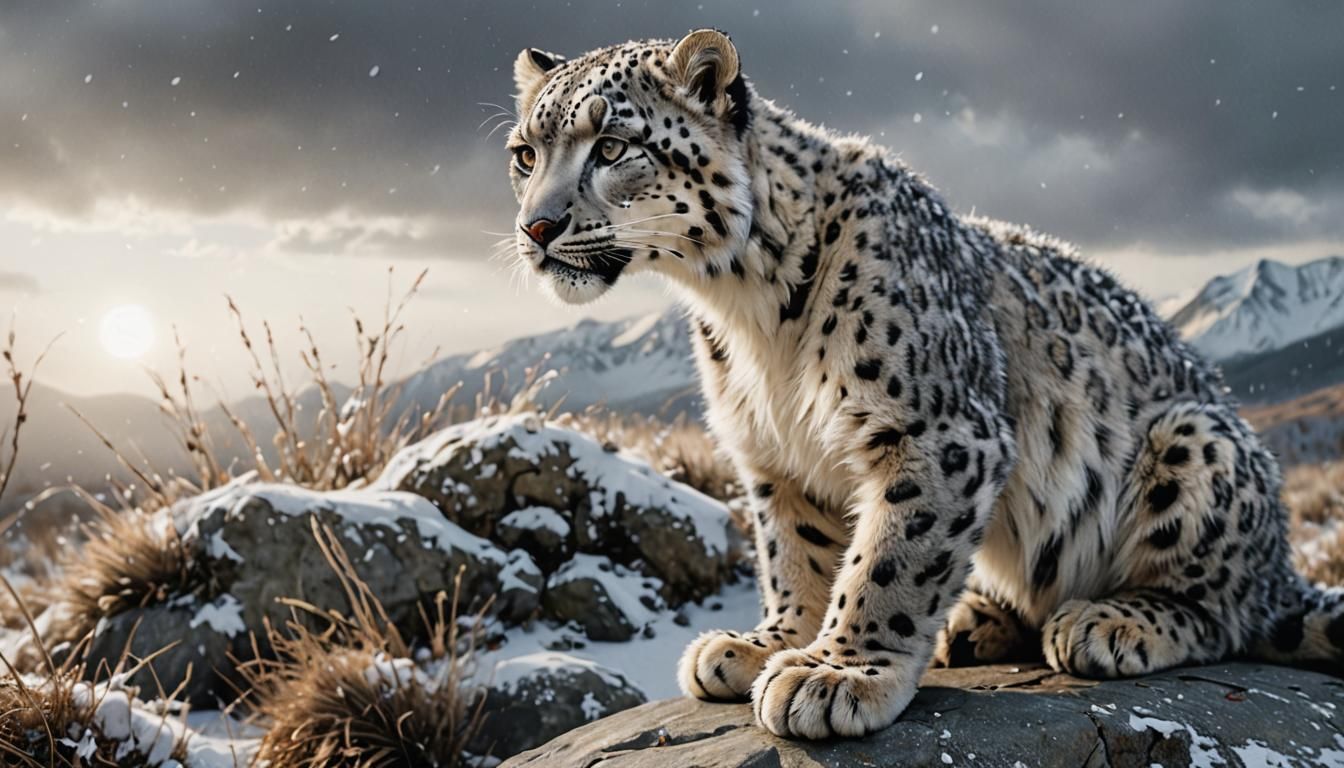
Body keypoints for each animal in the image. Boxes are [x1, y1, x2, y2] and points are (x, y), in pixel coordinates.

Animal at [503, 29, 1344, 739]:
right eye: (524, 154)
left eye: (613, 144)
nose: (535, 228)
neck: (741, 307)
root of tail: (1280, 559)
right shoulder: (773, 456)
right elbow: (796, 554)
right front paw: (766, 644)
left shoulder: (933, 432)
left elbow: (891, 558)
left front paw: (834, 674)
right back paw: (975, 623)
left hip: (1196, 442)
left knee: (1225, 610)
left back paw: (1108, 622)